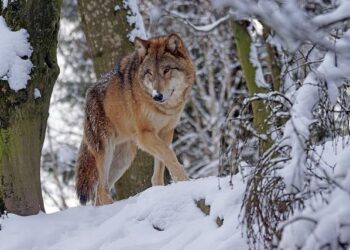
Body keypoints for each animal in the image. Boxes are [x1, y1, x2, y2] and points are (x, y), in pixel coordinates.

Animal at [74, 33, 194, 205]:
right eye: (150, 73)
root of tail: (88, 94)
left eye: (166, 70)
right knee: (102, 190)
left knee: (99, 193)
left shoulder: (166, 132)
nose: (157, 96)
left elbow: (161, 165)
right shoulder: (144, 135)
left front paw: (160, 189)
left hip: (124, 158)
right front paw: (184, 180)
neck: (165, 108)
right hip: (106, 150)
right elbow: (169, 155)